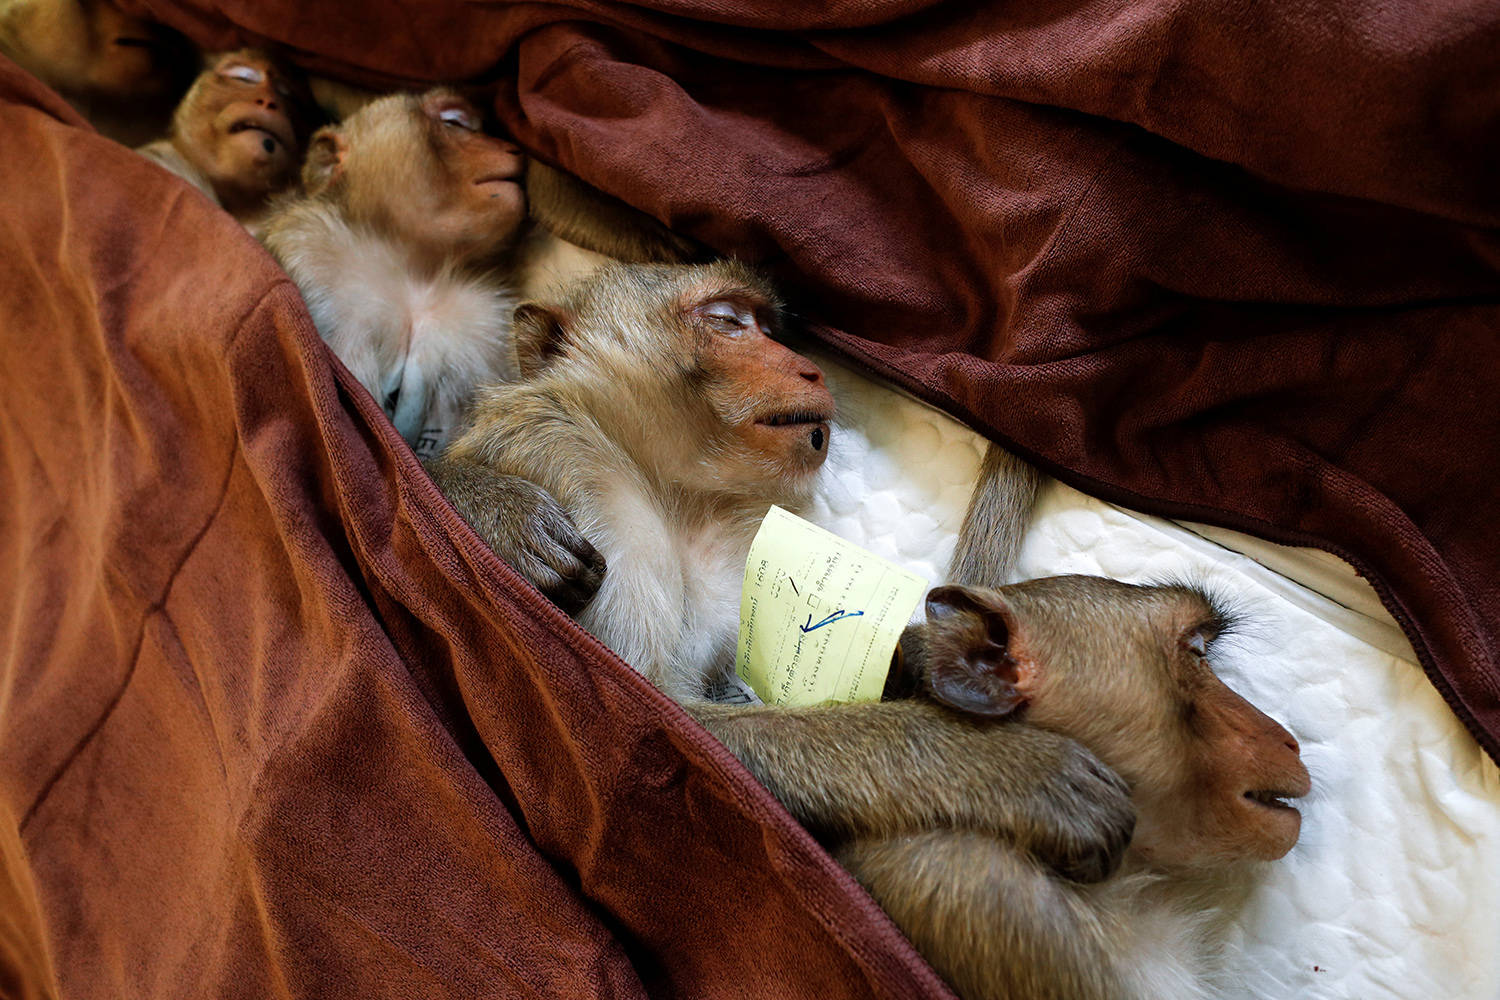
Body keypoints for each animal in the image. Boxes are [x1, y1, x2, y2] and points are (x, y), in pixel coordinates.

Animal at [435, 263, 1134, 881]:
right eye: (726, 321)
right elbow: (646, 721)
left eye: (767, 326)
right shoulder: (562, 463)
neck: (670, 492)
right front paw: (1010, 769)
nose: (812, 368)